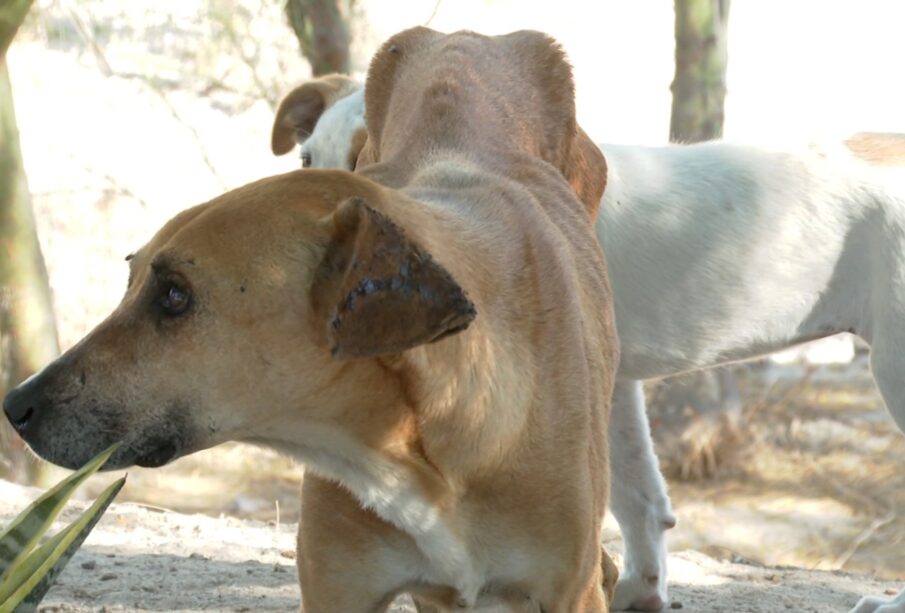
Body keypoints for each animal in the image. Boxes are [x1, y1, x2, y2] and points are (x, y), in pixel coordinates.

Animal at [1, 27, 616, 608]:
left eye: (174, 295)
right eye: (131, 279)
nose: (15, 407)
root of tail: (467, 37)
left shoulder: (569, 593)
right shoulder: (337, 588)